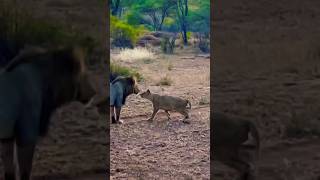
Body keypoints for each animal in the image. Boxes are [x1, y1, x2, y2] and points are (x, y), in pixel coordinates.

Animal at [0, 46, 95, 180]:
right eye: (84, 75)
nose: (94, 92)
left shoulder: (7, 137)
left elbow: (10, 172)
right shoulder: (27, 135)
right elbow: (25, 172)